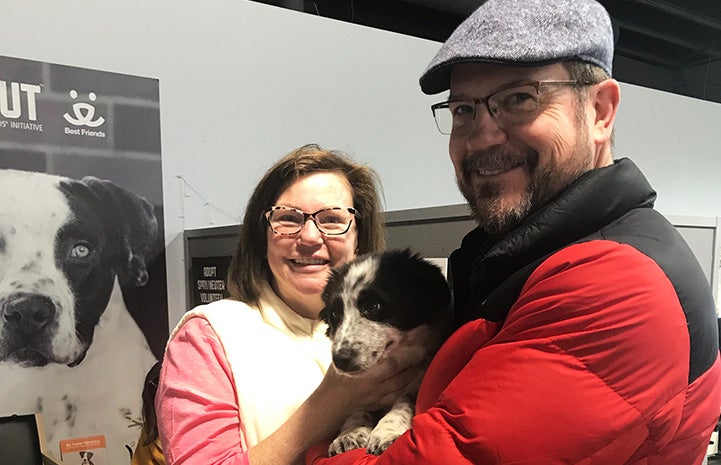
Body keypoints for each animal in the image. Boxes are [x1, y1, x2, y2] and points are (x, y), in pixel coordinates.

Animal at [320, 248, 450, 454]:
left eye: (374, 306)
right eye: (334, 313)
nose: (340, 360)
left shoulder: (420, 376)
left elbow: (405, 401)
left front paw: (387, 431)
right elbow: (357, 409)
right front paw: (350, 433)